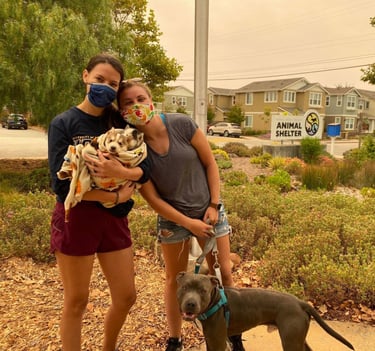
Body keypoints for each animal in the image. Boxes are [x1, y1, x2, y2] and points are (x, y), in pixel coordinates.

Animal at [177, 272, 356, 351]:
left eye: (203, 291)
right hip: (298, 338)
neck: (215, 302)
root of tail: (300, 303)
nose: (190, 304)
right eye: (184, 287)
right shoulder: (210, 340)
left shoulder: (217, 342)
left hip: (290, 340)